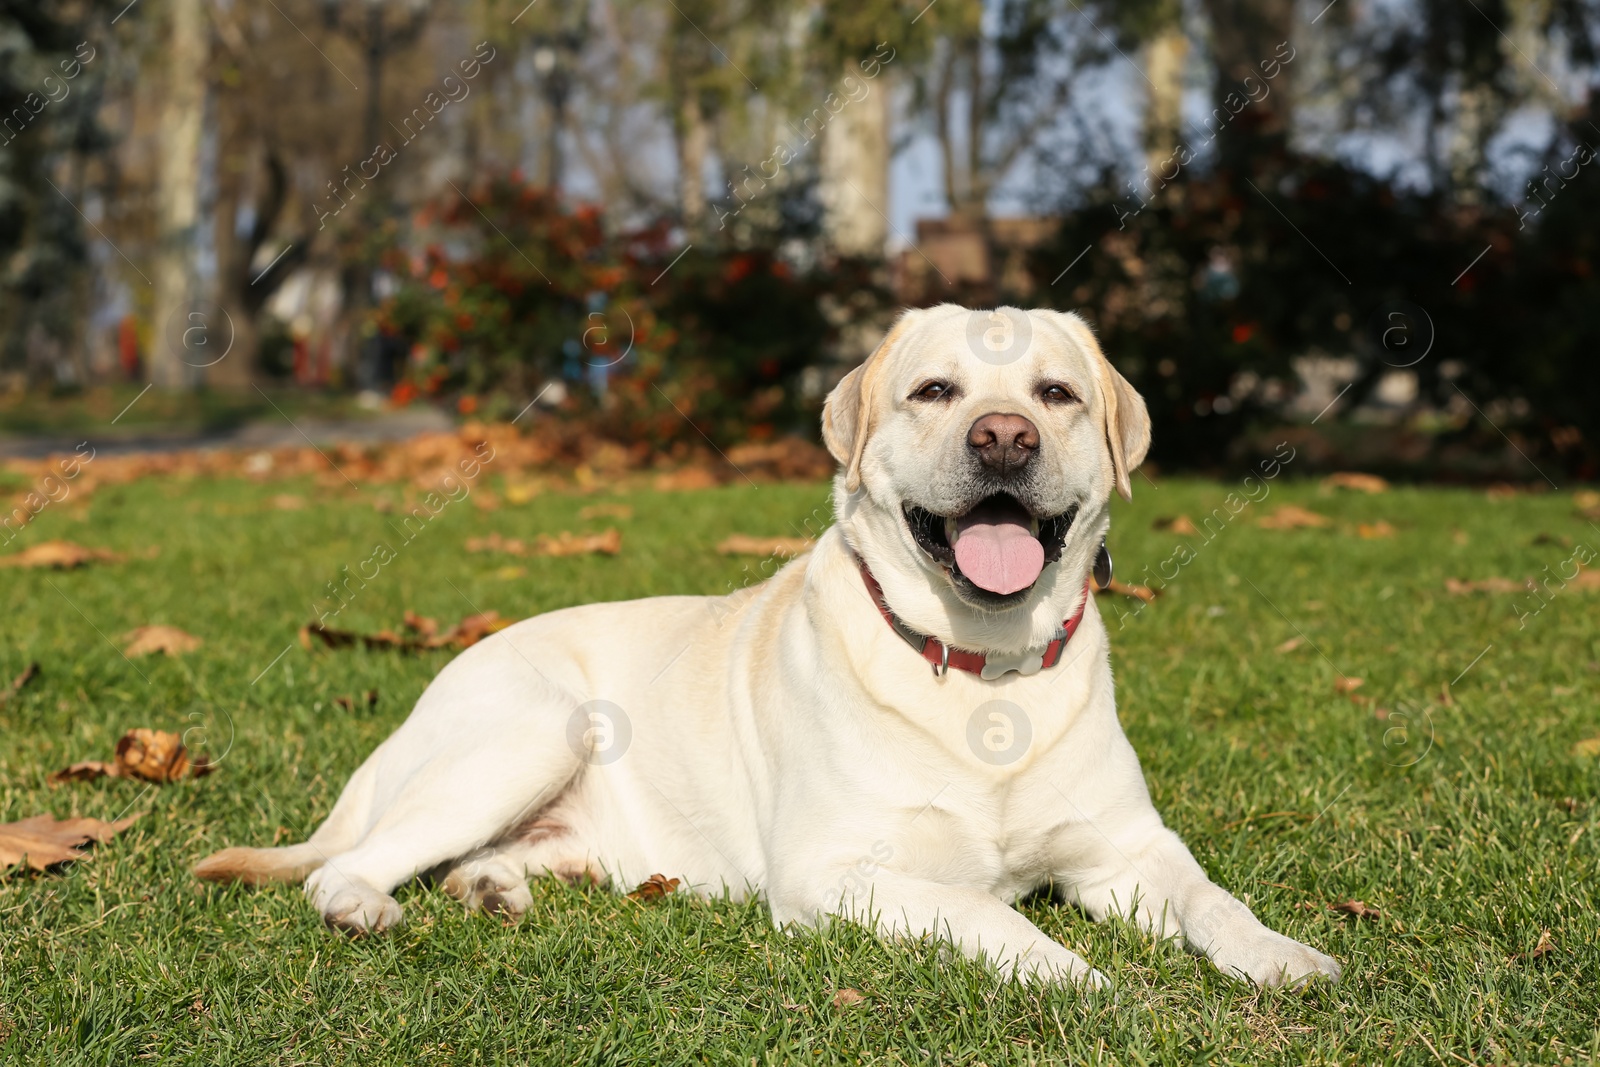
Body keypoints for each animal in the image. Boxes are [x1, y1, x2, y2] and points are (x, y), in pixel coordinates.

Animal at [196, 303, 1337, 991]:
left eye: (1055, 394)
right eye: (935, 391)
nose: (1005, 438)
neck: (978, 663)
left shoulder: (1129, 851)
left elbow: (1213, 897)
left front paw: (1284, 955)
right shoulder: (834, 873)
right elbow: (990, 914)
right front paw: (1078, 974)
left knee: (474, 859)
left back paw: (493, 888)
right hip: (533, 730)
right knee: (346, 867)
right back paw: (365, 906)